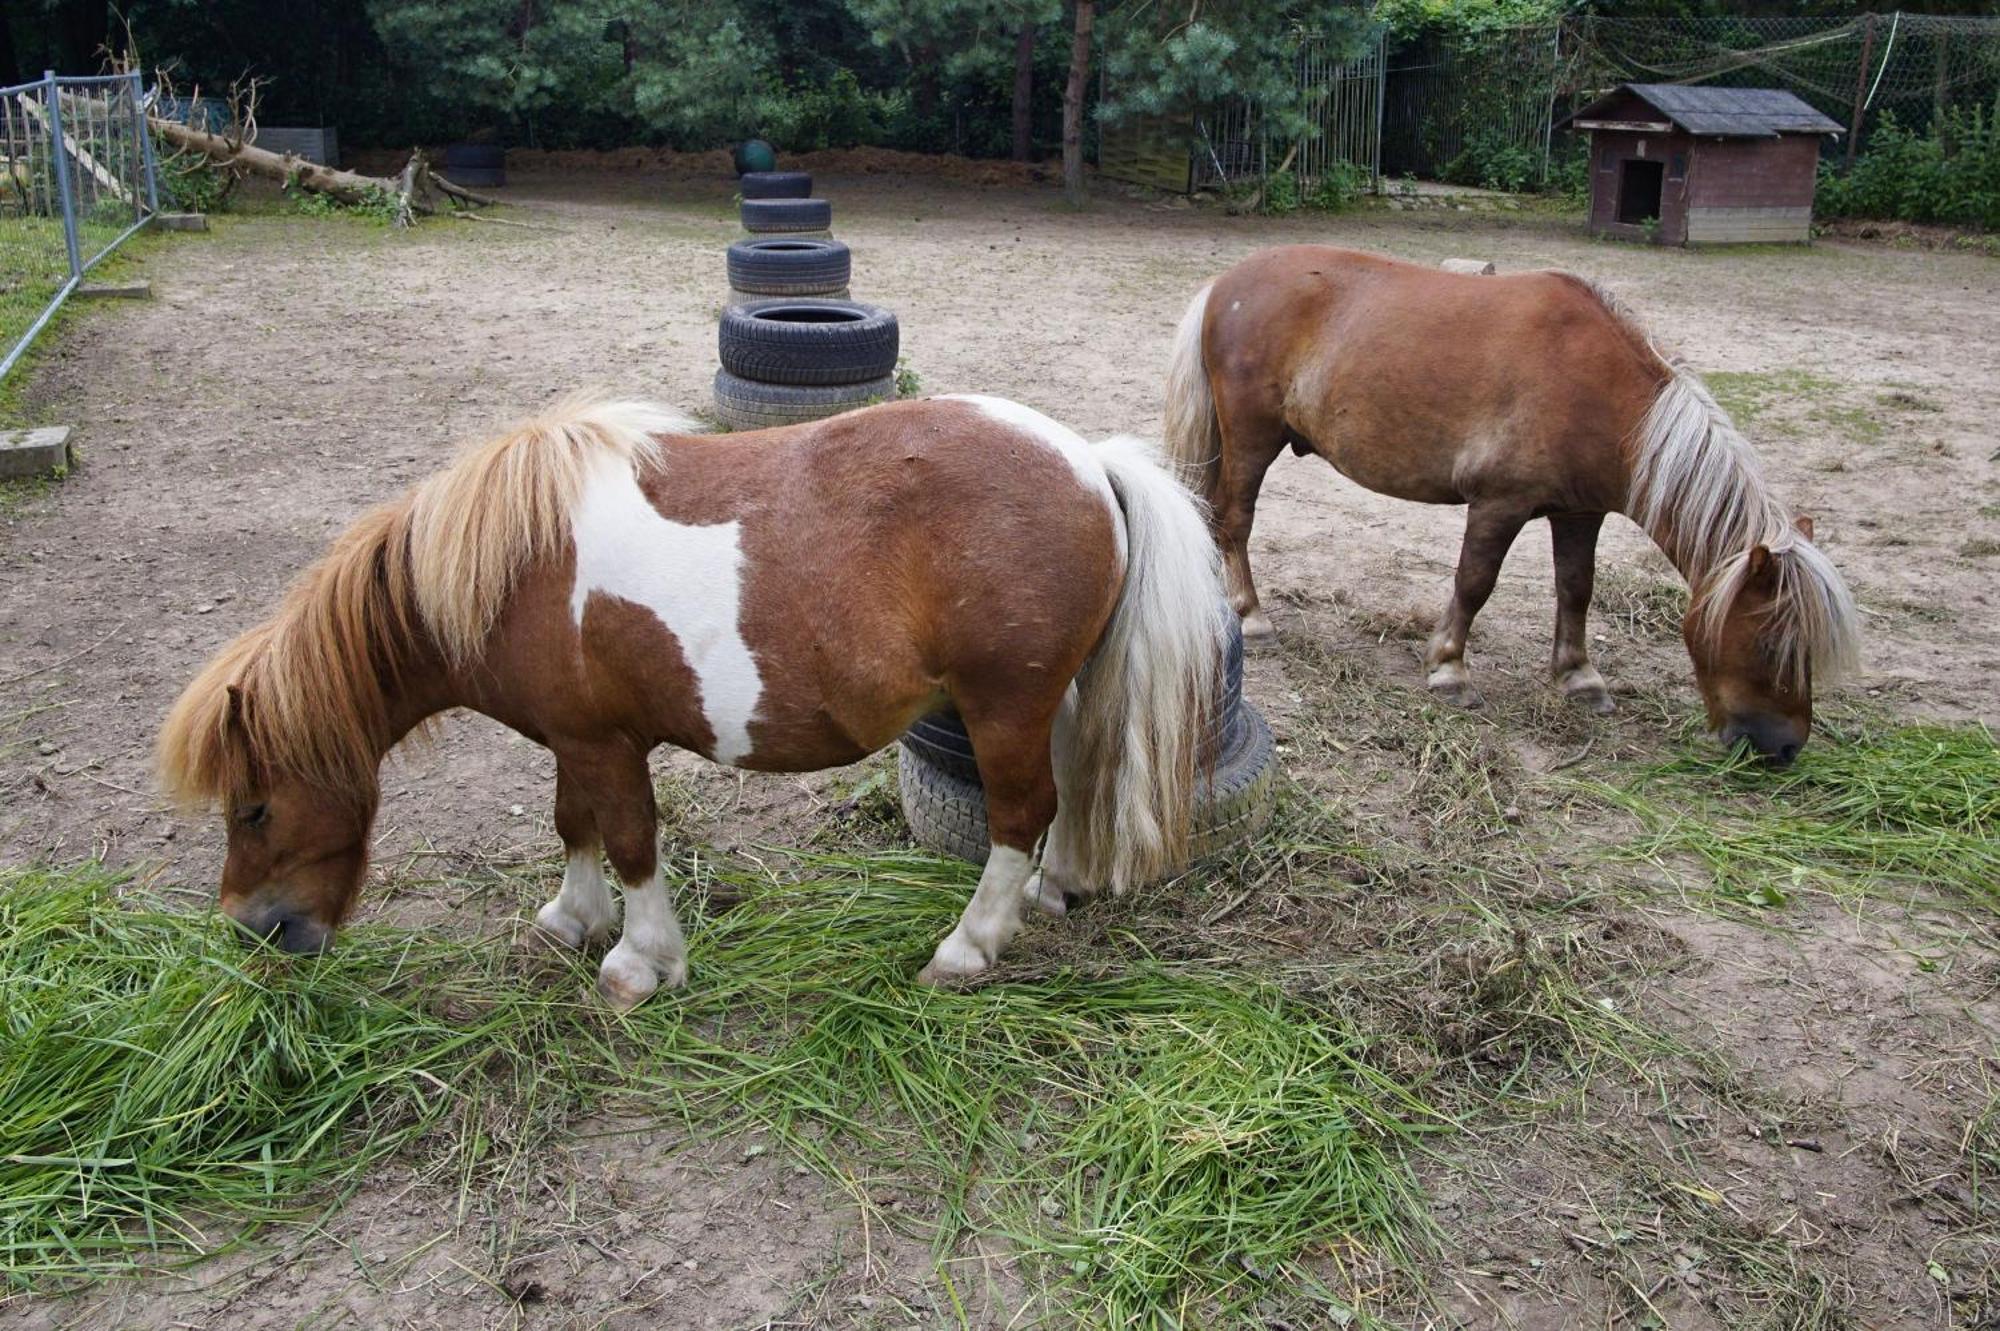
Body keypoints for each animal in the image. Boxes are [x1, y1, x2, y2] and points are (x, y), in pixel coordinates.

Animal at [156, 393, 1216, 1007]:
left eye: (254, 807)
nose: (256, 931)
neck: (515, 565)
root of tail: (1087, 460)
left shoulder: (605, 741)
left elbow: (631, 842)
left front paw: (639, 961)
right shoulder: (576, 738)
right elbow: (574, 825)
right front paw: (571, 918)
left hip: (1000, 705)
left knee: (1020, 814)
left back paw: (967, 946)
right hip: (1048, 701)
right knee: (1069, 791)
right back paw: (1051, 891)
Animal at [1168, 244, 1864, 763]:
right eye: (1774, 642)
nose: (1783, 748)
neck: (1599, 392)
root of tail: (1226, 283)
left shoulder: (1579, 514)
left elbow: (1576, 589)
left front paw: (1579, 677)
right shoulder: (1498, 505)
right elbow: (1475, 583)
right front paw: (1449, 670)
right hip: (1253, 439)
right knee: (1236, 520)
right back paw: (1252, 616)